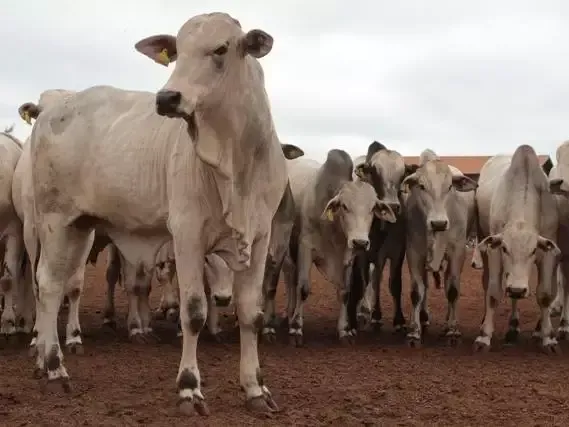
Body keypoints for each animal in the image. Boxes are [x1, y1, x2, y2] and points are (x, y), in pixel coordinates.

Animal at [28, 11, 286, 416]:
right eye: (177, 51)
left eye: (221, 48)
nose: (167, 98)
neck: (238, 164)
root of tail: (53, 110)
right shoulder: (188, 235)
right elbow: (193, 312)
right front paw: (189, 389)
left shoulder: (258, 238)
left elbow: (251, 314)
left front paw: (255, 389)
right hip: (55, 221)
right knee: (51, 286)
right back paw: (55, 368)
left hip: (80, 228)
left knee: (53, 286)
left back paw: (43, 360)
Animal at [472, 145, 560, 352]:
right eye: (505, 249)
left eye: (533, 251)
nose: (518, 289)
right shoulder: (494, 250)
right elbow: (493, 293)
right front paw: (484, 336)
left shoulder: (548, 253)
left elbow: (545, 295)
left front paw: (548, 338)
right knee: (488, 283)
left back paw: (513, 327)